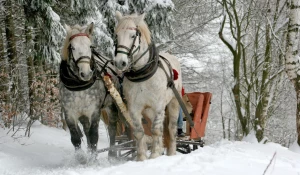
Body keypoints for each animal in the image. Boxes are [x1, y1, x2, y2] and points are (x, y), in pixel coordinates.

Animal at [113, 11, 182, 161]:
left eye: (133, 36)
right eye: (116, 36)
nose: (120, 62)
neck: (142, 74)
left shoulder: (158, 106)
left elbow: (156, 130)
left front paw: (155, 154)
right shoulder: (134, 108)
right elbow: (139, 132)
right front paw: (141, 157)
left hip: (173, 102)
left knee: (171, 129)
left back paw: (171, 153)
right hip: (149, 111)